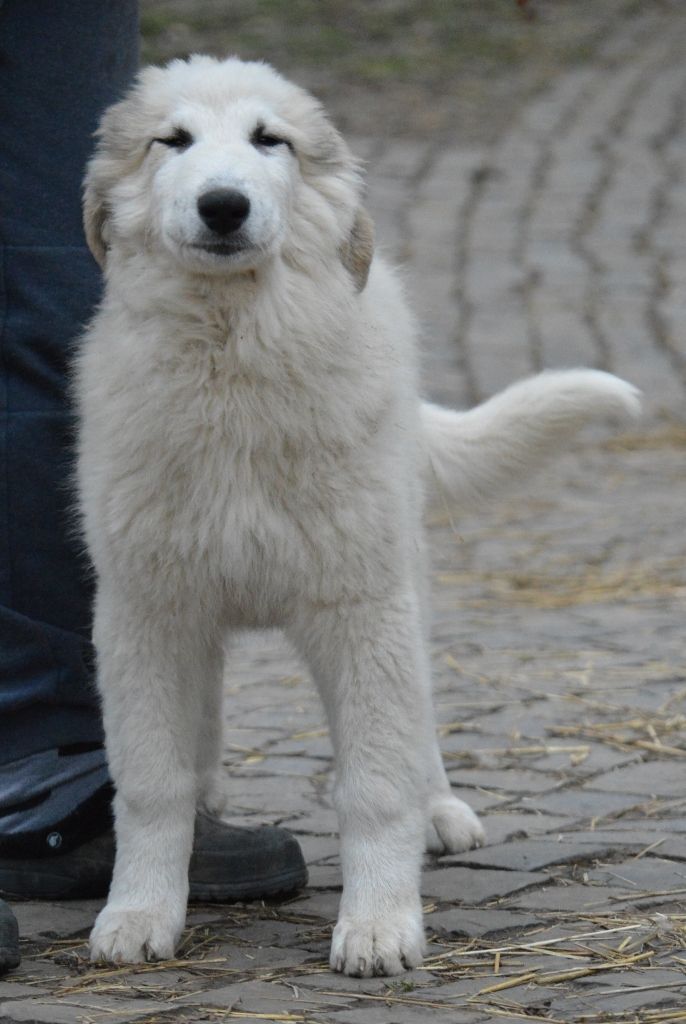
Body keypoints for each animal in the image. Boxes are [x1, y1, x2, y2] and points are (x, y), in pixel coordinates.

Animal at [77, 56, 642, 974]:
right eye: (173, 140)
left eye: (270, 140)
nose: (224, 205)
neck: (232, 355)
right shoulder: (147, 610)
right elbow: (151, 782)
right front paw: (138, 913)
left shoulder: (360, 606)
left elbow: (377, 782)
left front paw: (379, 926)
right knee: (207, 719)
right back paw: (211, 797)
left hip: (403, 567)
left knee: (418, 718)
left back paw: (439, 808)